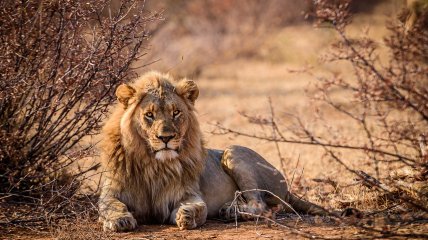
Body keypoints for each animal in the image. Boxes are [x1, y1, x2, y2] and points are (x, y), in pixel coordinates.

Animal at [99, 71, 328, 232]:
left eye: (176, 113)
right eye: (149, 115)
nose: (166, 138)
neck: (153, 164)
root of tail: (287, 188)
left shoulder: (188, 193)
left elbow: (199, 207)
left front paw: (187, 216)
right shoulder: (111, 191)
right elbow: (110, 205)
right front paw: (120, 220)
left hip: (233, 152)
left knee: (261, 205)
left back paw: (232, 211)